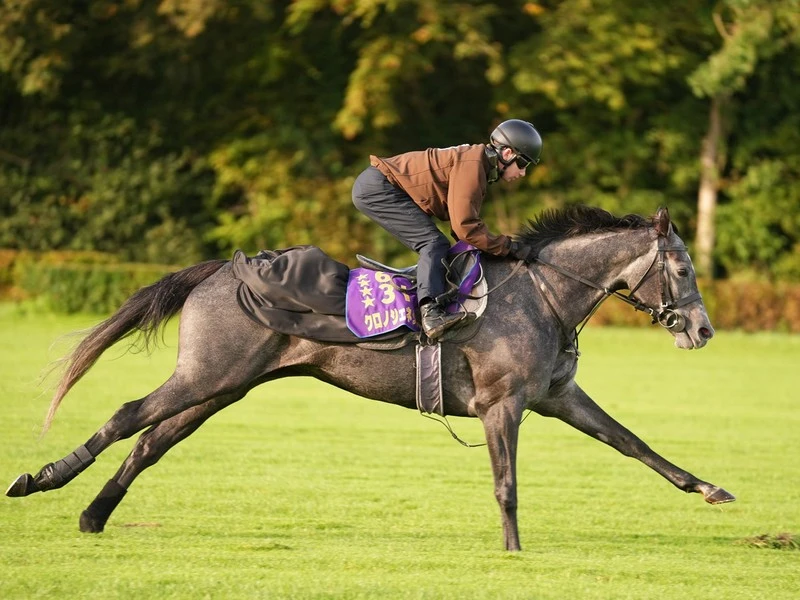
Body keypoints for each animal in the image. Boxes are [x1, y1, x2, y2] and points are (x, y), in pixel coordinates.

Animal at [6, 205, 734, 551]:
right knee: (128, 415)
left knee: (151, 441)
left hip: (222, 386)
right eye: (682, 268)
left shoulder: (557, 397)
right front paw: (514, 551)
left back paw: (93, 515)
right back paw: (39, 479)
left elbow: (633, 443)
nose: (703, 330)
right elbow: (506, 485)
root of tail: (223, 267)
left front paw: (709, 488)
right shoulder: (502, 405)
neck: (544, 293)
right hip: (206, 373)